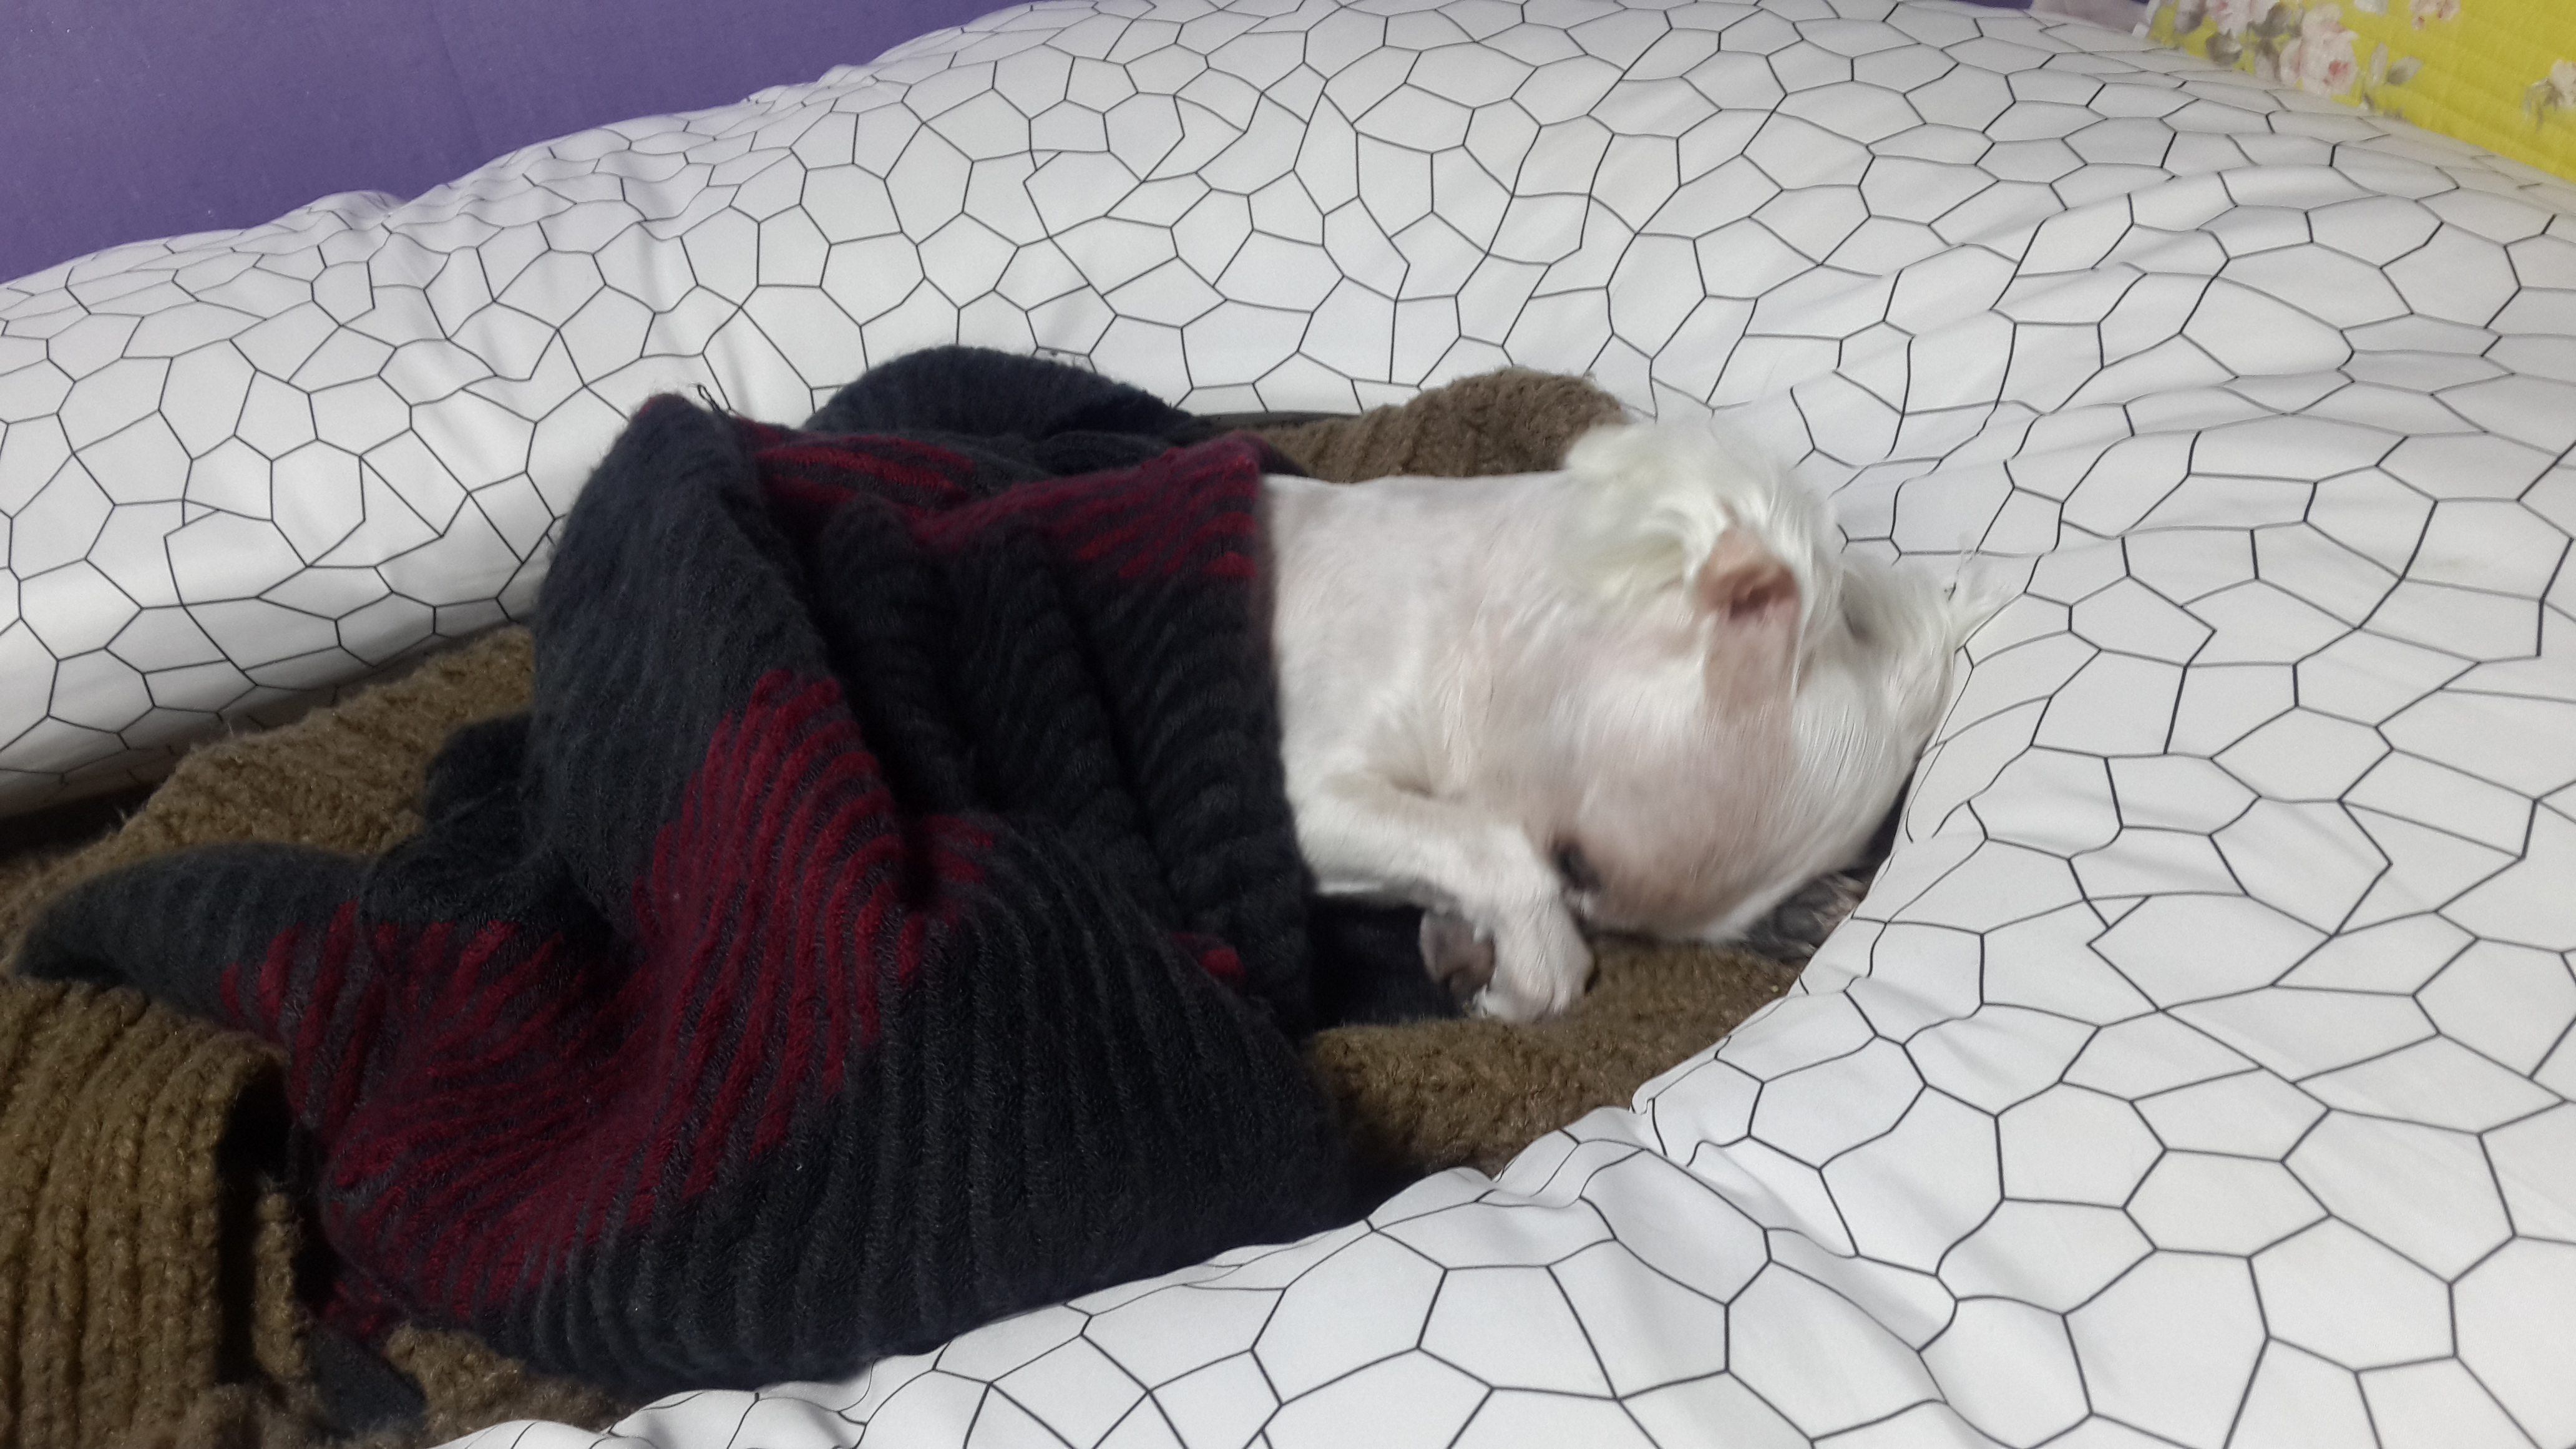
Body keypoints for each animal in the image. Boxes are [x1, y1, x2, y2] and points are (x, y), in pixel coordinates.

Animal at [1264, 420, 1981, 1022]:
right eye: (1572, 863)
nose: (1457, 977)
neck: (1465, 623)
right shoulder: (1306, 791)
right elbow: (1495, 856)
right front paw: (1532, 982)